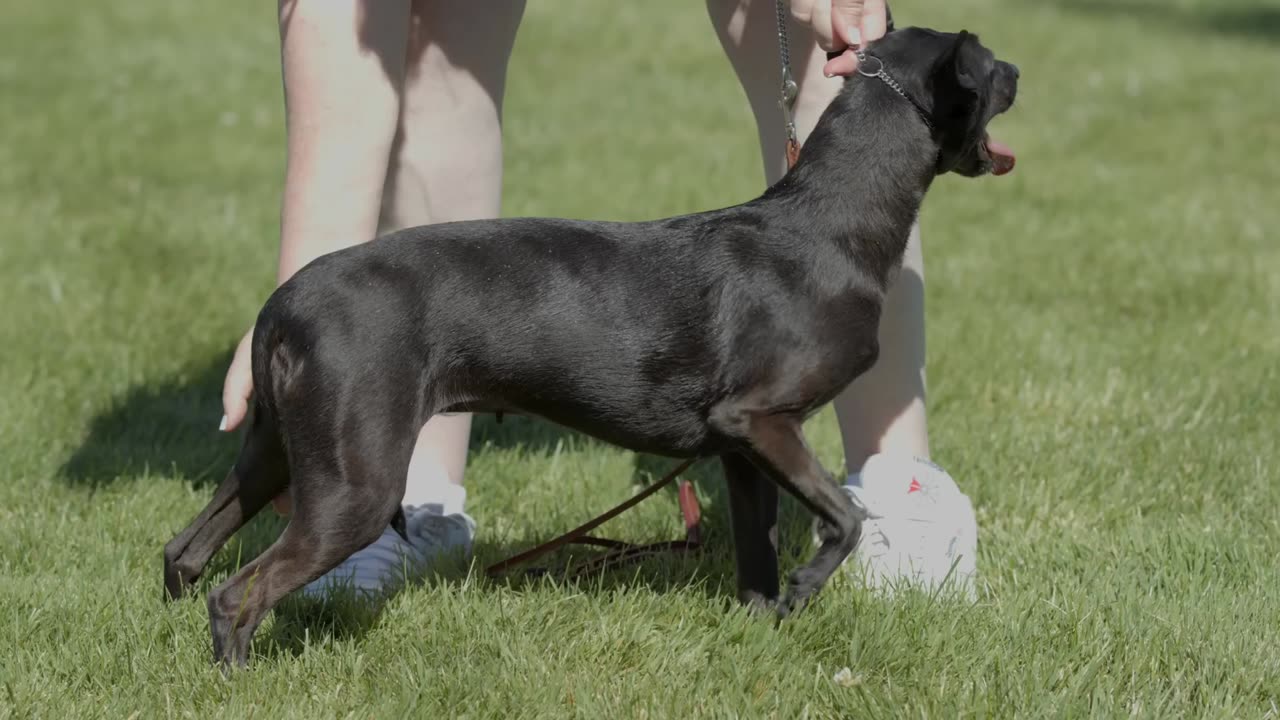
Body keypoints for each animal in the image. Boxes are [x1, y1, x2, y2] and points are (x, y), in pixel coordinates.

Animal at [165, 28, 1018, 666]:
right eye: (991, 66)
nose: (1018, 70)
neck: (828, 223)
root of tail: (281, 306)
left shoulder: (744, 453)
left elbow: (759, 552)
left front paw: (760, 628)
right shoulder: (762, 421)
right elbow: (845, 516)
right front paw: (807, 590)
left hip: (277, 453)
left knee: (185, 552)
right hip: (356, 486)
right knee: (236, 593)